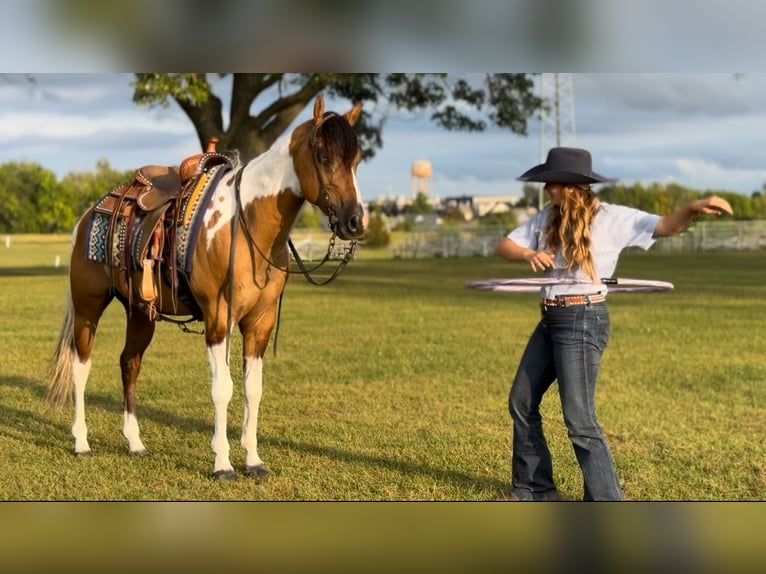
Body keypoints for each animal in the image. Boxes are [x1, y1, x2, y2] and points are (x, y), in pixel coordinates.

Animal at [47, 94, 366, 480]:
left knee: (129, 363)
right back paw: (81, 442)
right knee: (81, 367)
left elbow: (253, 390)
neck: (246, 224)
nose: (355, 221)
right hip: (88, 308)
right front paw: (222, 463)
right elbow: (222, 389)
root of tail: (90, 214)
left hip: (140, 312)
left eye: (356, 159)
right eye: (323, 157)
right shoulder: (218, 319)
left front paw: (253, 460)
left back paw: (135, 443)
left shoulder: (260, 323)